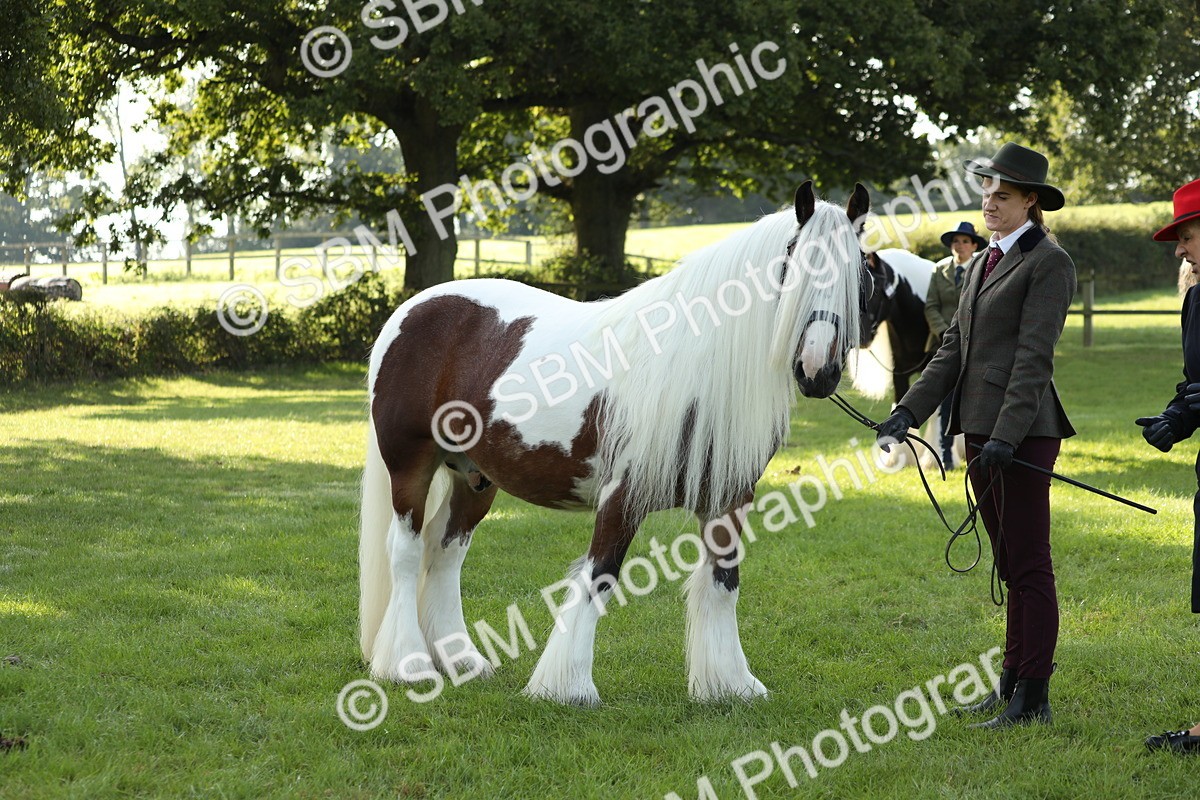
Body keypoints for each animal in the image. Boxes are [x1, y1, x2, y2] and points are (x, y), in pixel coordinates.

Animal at [357, 181, 871, 706]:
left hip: (474, 478)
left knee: (444, 552)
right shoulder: (622, 494)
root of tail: (413, 308)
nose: (818, 369)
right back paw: (408, 665)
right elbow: (600, 574)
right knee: (406, 552)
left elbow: (723, 582)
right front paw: (567, 686)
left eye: (860, 270)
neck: (696, 369)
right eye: (793, 263)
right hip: (411, 466)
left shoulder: (729, 500)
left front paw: (730, 684)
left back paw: (462, 661)